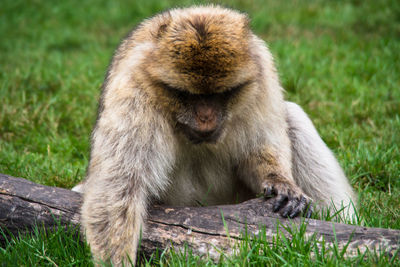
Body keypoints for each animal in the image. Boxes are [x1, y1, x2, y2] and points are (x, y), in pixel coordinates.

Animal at [74, 5, 356, 266]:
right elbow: (118, 190)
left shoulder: (262, 76)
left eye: (221, 94)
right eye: (187, 95)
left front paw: (280, 183)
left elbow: (258, 149)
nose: (206, 118)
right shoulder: (134, 93)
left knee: (293, 117)